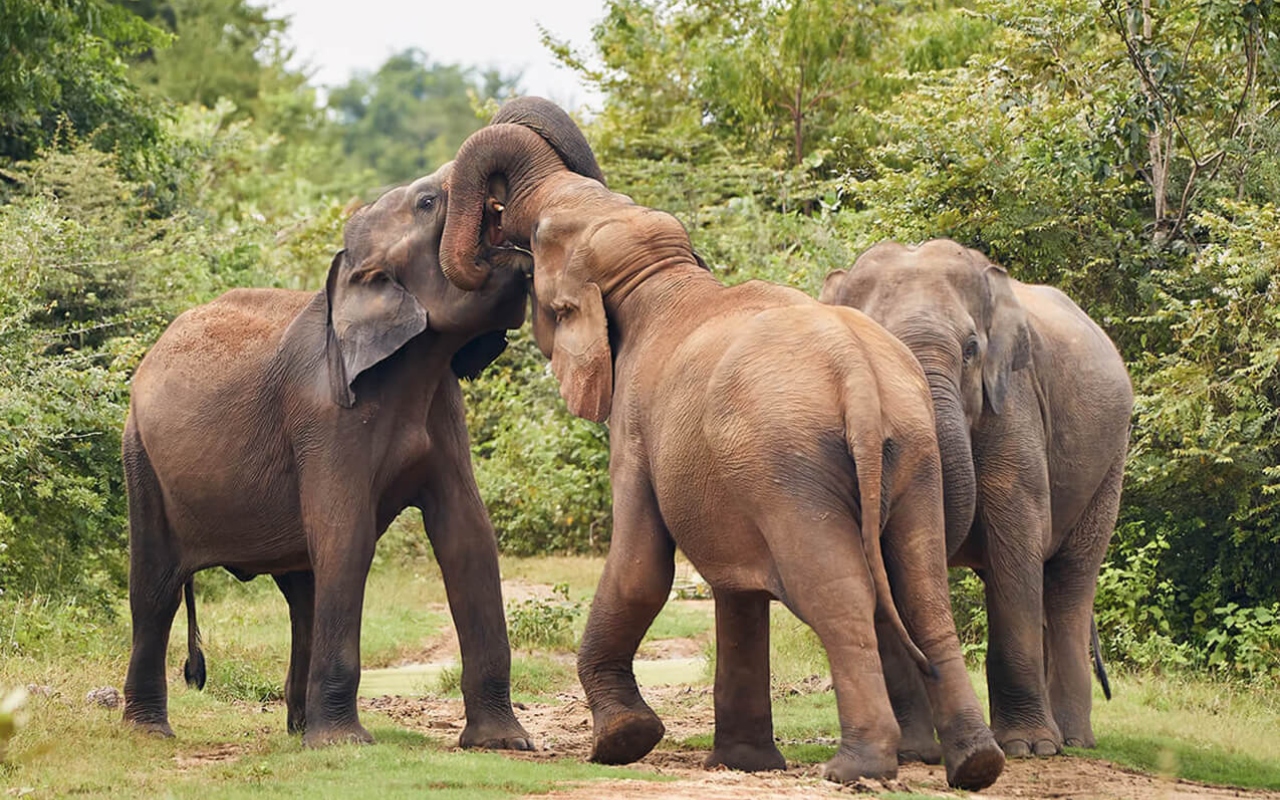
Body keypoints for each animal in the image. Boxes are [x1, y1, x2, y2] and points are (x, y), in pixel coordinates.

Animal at [120, 96, 599, 747]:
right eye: (427, 202)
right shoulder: (325, 418)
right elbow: (346, 538)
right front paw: (346, 745)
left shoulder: (444, 411)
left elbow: (469, 537)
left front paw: (503, 743)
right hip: (140, 455)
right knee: (155, 587)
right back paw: (151, 733)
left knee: (302, 588)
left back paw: (297, 732)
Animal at [435, 118, 1003, 793]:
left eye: (541, 237)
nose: (496, 228)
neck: (660, 274)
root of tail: (858, 378)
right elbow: (737, 589)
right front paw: (743, 762)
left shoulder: (635, 426)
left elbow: (641, 566)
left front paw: (623, 742)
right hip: (913, 454)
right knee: (923, 590)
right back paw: (977, 765)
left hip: (792, 470)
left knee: (837, 595)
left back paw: (855, 768)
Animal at [819, 240, 1131, 757]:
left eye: (971, 350)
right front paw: (911, 752)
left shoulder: (1013, 407)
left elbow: (1016, 542)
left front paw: (1027, 748)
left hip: (1110, 463)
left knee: (1069, 581)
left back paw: (1070, 741)